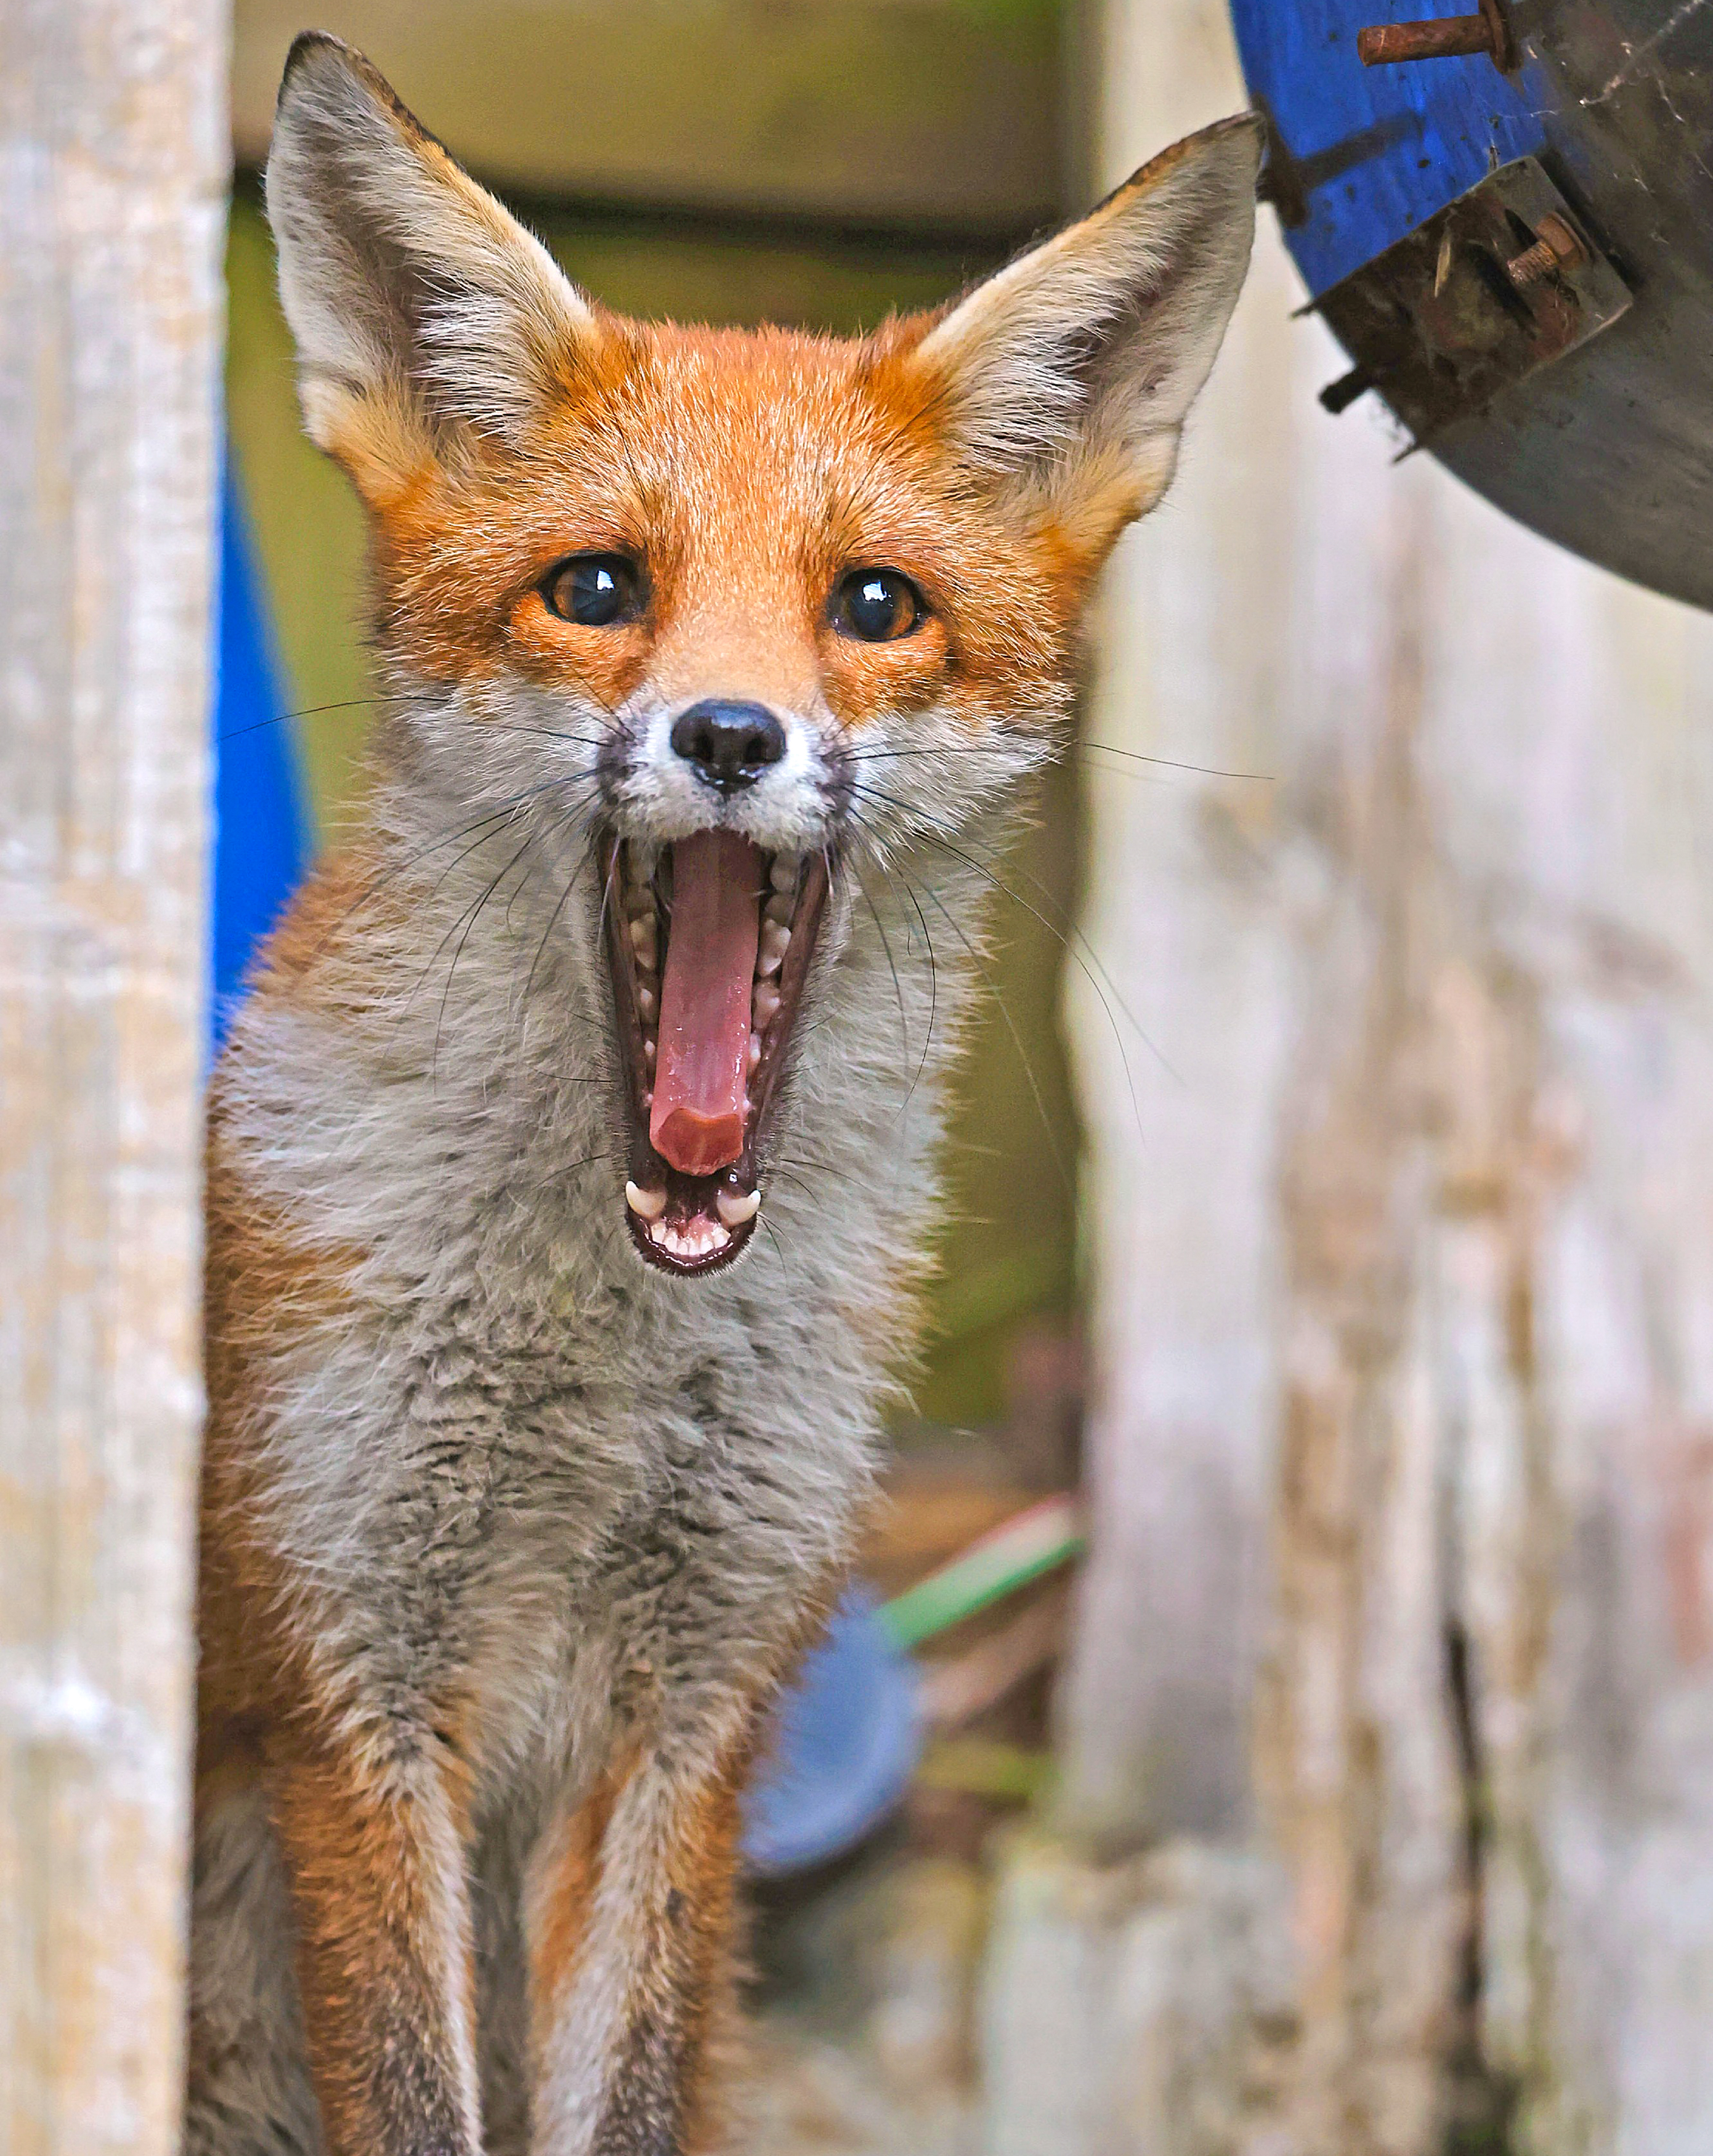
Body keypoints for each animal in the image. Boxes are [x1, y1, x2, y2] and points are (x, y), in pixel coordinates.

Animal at [188, 30, 1260, 2156]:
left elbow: (624, 2090)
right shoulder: (349, 1683)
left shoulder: (695, 1710)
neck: (600, 1359)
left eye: (875, 605)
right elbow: (416, 2093)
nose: (732, 733)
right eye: (598, 585)